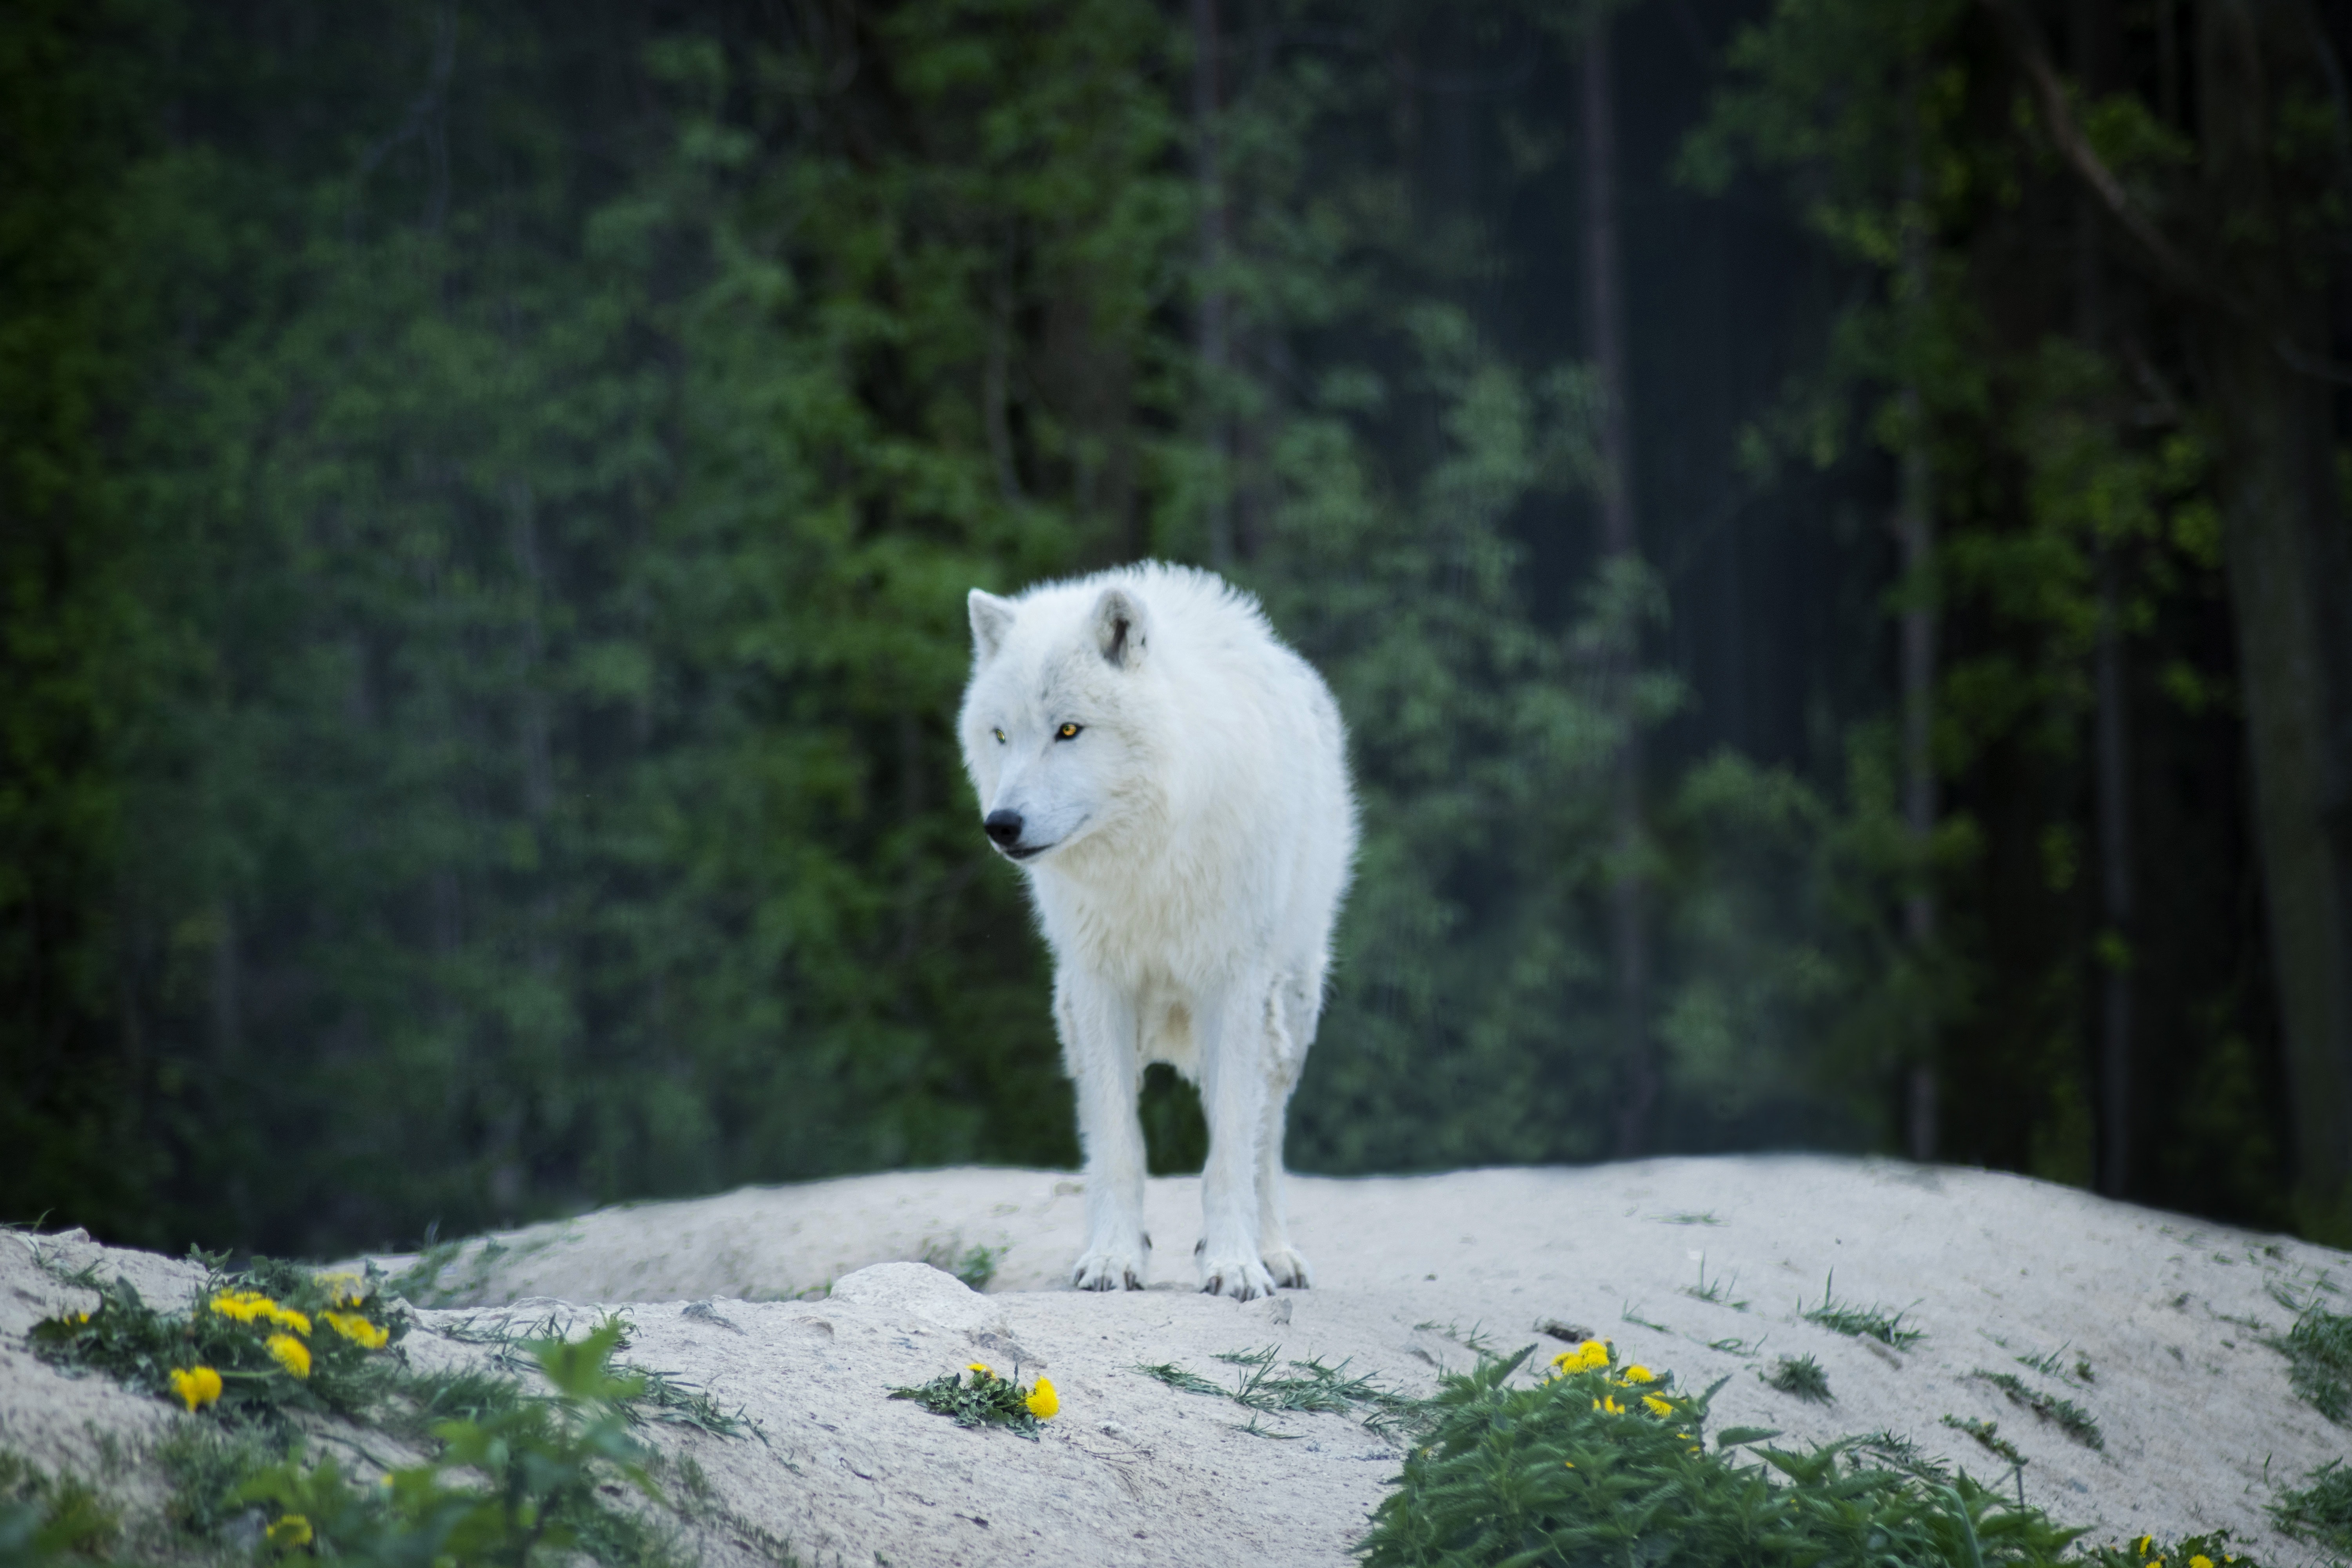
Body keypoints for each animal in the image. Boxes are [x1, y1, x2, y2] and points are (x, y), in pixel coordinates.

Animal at [958, 563, 1356, 1300]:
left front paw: (1234, 1265)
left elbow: (1230, 1150)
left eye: (1068, 730)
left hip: (1288, 1009)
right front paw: (1115, 1259)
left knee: (1267, 1139)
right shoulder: (1100, 985)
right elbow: (1120, 1145)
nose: (1001, 825)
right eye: (1001, 736)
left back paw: (1275, 1253)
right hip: (1073, 1018)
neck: (1145, 857)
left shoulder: (1233, 984)